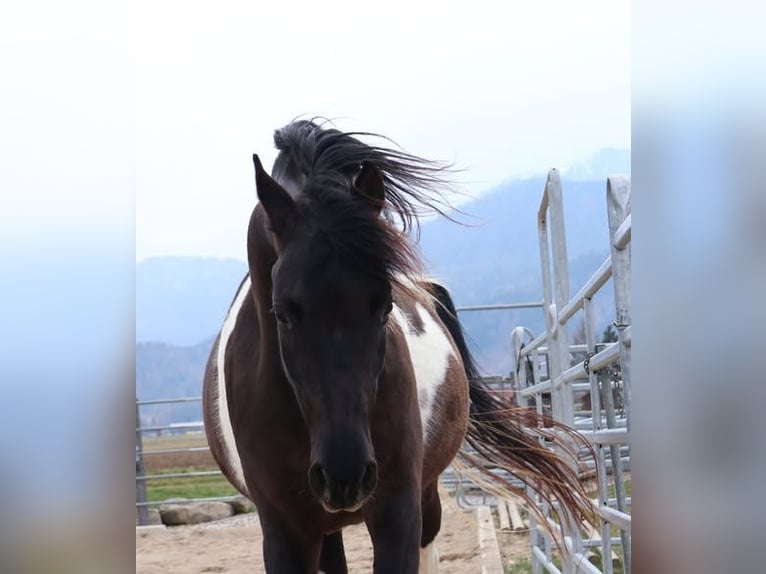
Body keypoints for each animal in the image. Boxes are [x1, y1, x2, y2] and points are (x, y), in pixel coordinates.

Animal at [202, 120, 593, 573]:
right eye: (282, 312)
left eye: (385, 305)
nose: (346, 474)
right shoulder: (285, 532)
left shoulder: (397, 511)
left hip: (424, 495)